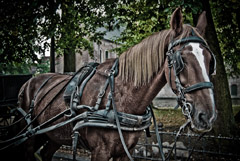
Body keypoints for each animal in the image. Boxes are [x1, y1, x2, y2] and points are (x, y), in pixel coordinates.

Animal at [15, 8, 217, 161]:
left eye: (210, 61)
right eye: (180, 60)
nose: (207, 116)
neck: (120, 96)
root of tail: (28, 82)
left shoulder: (125, 152)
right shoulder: (100, 152)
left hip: (53, 135)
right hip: (29, 136)